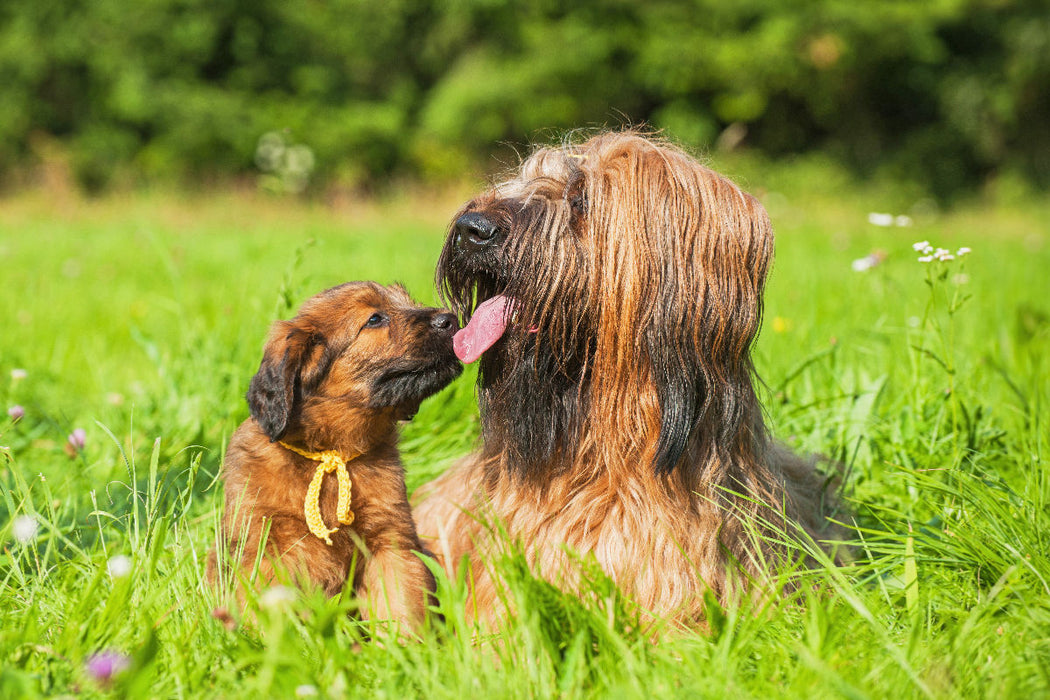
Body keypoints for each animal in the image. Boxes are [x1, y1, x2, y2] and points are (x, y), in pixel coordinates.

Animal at [213, 281, 459, 633]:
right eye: (374, 319)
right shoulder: (266, 547)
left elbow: (402, 604)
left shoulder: (391, 543)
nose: (452, 319)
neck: (330, 454)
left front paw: (408, 646)